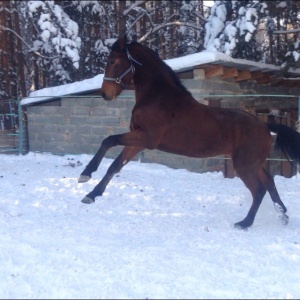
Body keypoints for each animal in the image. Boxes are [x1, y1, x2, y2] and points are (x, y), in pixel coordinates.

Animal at [78, 34, 300, 229]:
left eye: (113, 60)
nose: (105, 94)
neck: (157, 98)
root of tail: (264, 126)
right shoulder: (137, 142)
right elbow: (114, 166)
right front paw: (91, 195)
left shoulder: (146, 138)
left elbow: (108, 140)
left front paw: (85, 174)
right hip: (253, 164)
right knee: (269, 183)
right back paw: (283, 217)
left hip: (244, 166)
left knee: (259, 190)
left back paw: (245, 223)